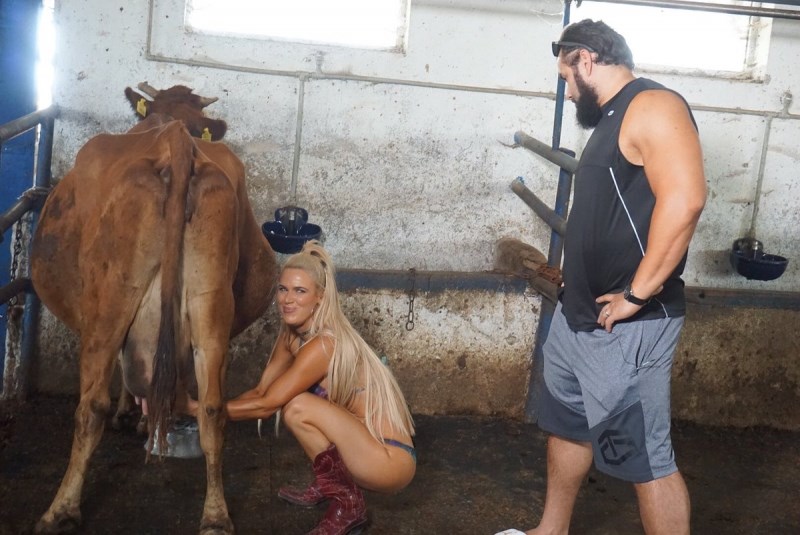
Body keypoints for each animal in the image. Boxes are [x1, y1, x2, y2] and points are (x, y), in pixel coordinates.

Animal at [30, 83, 278, 534]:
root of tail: (176, 141)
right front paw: (147, 421)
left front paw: (131, 416)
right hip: (210, 303)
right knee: (213, 408)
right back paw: (215, 515)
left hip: (111, 301)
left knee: (90, 407)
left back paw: (61, 509)